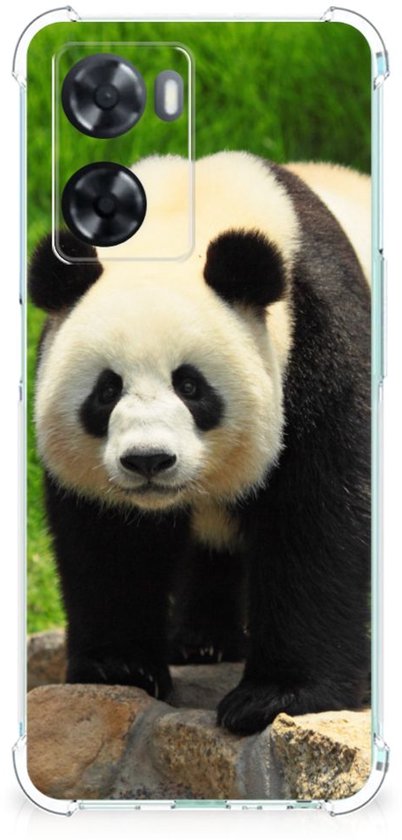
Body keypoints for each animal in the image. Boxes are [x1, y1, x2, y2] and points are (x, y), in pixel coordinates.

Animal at [29, 152, 371, 735]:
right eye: (106, 390)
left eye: (190, 386)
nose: (148, 460)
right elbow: (108, 538)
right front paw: (120, 668)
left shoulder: (320, 339)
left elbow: (320, 516)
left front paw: (274, 696)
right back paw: (202, 642)